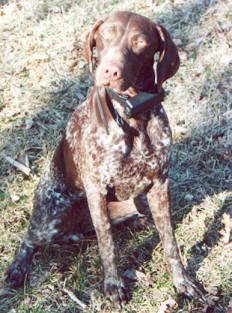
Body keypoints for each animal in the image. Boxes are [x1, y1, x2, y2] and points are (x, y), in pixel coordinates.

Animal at [5, 10, 205, 308]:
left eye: (140, 42)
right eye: (106, 35)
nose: (110, 71)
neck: (134, 114)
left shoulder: (160, 183)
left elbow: (170, 241)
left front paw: (183, 282)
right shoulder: (97, 188)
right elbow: (107, 244)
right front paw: (114, 286)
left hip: (137, 202)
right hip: (51, 218)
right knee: (29, 238)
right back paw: (17, 269)